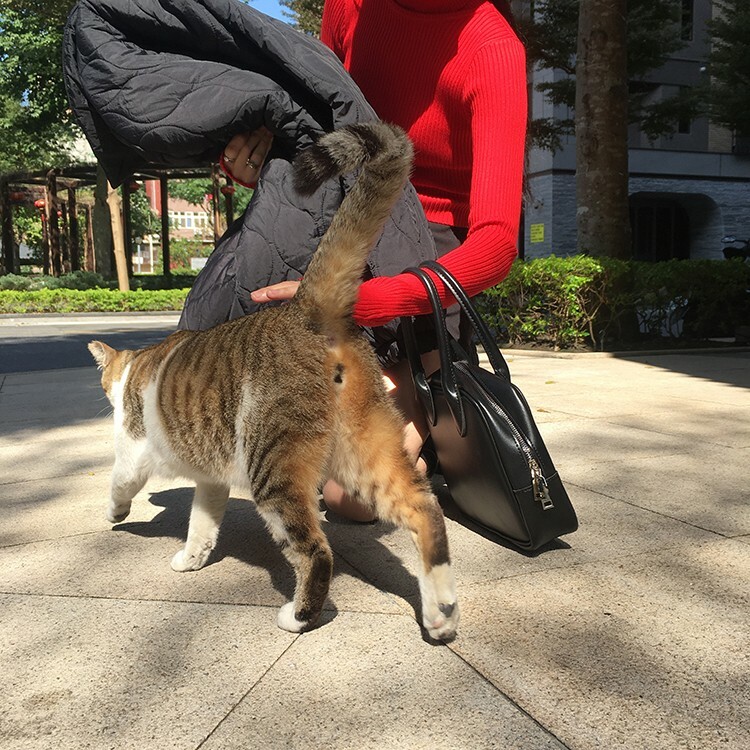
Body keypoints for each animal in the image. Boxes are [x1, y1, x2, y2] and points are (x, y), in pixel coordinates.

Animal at [89, 122, 458, 639]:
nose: (104, 391)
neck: (138, 365)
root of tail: (306, 309)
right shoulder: (211, 478)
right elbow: (202, 522)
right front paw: (192, 557)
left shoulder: (134, 448)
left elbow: (119, 481)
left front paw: (116, 513)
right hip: (364, 450)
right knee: (424, 510)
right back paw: (440, 613)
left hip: (273, 464)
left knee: (316, 550)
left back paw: (299, 616)